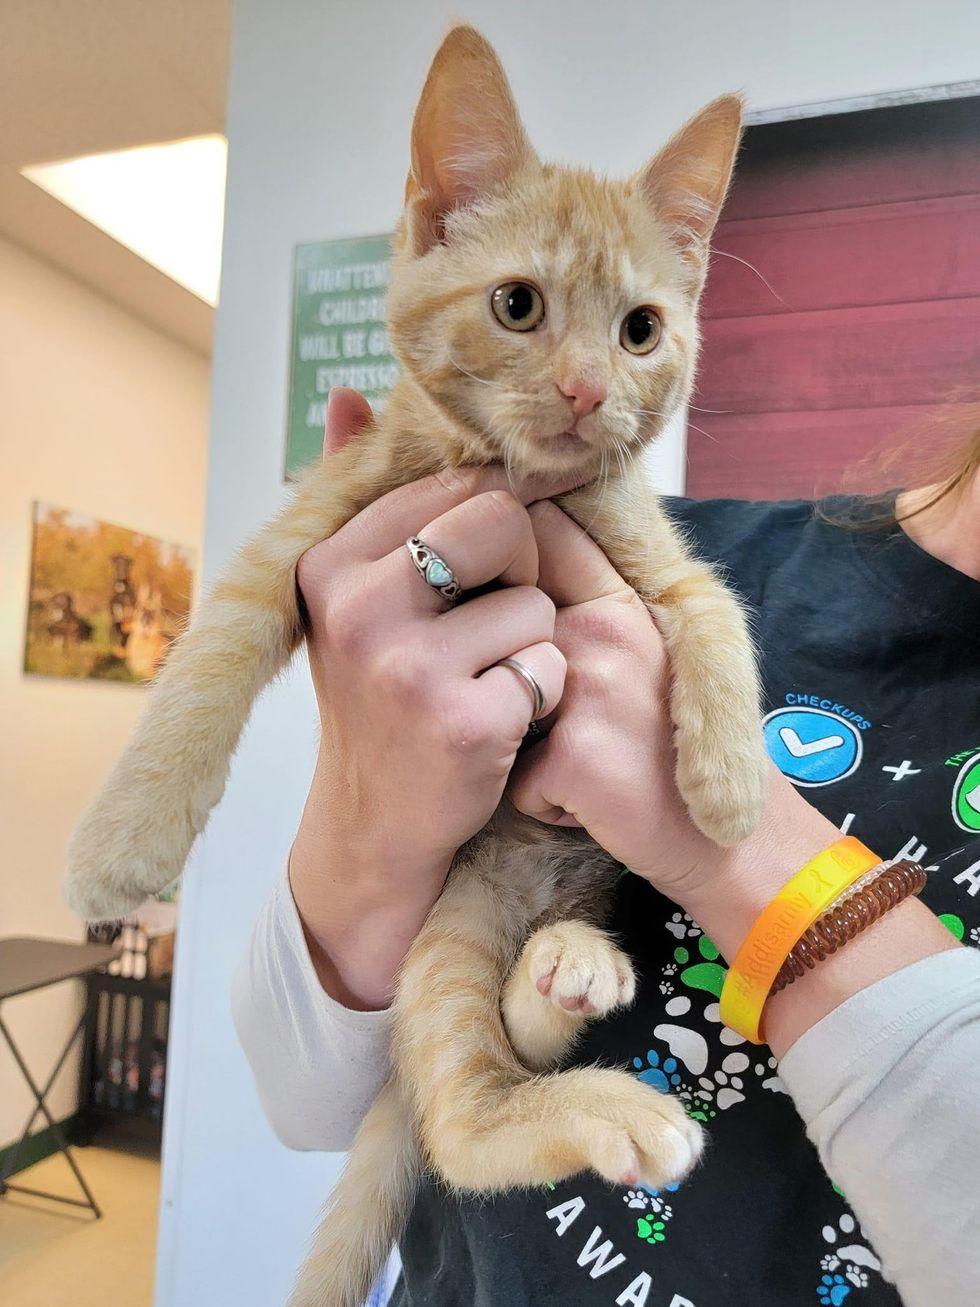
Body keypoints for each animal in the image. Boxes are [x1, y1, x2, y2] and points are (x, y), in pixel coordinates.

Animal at [65, 23, 773, 1307]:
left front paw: (729, 784)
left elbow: (714, 616)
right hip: (452, 919)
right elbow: (203, 665)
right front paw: (122, 845)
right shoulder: (304, 535)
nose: (588, 388)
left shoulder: (661, 558)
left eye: (640, 329)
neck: (517, 485)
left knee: (472, 1092)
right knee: (459, 1113)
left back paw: (572, 973)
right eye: (517, 305)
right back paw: (585, 1045)